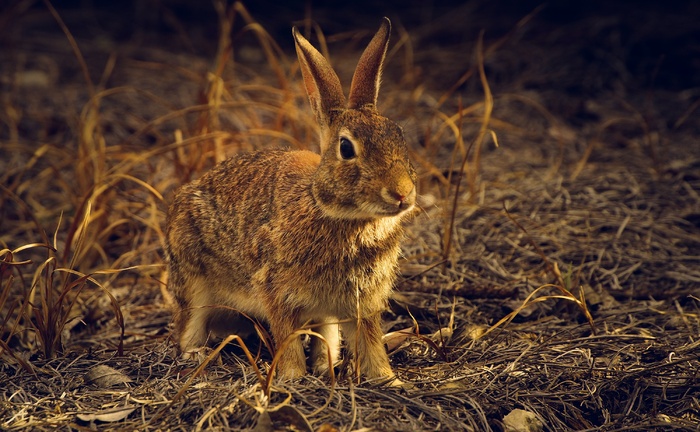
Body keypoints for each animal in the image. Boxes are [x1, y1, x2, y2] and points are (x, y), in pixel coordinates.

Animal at [164, 16, 416, 384]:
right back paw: (195, 357)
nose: (402, 193)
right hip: (193, 280)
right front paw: (293, 378)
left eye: (399, 136)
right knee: (189, 324)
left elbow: (369, 343)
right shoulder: (277, 293)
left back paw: (326, 366)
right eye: (346, 148)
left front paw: (388, 379)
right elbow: (288, 338)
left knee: (327, 335)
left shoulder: (362, 304)